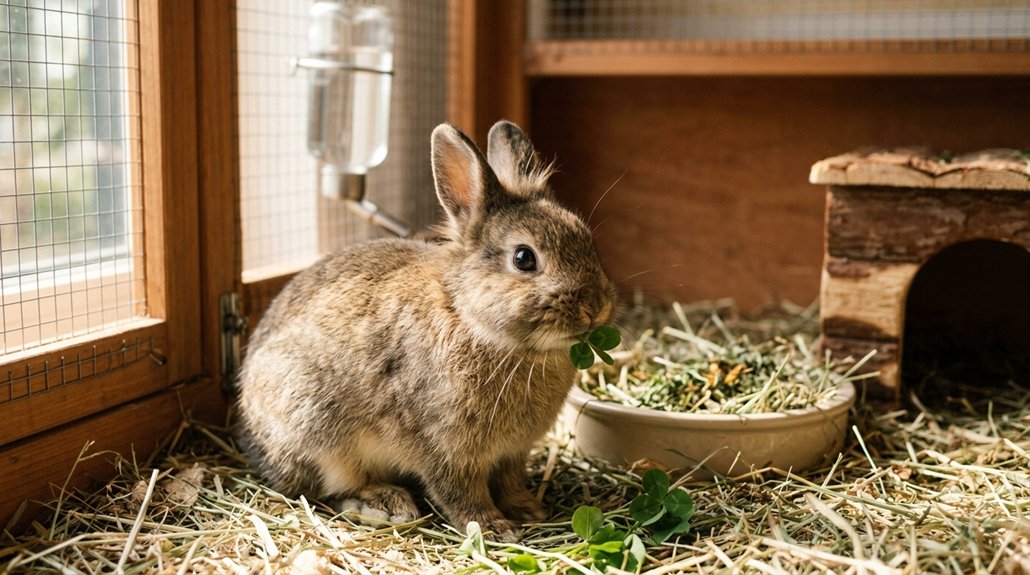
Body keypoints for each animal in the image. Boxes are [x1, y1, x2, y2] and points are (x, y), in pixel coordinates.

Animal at [235, 120, 617, 542]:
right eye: (524, 258)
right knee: (325, 489)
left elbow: (510, 482)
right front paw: (494, 528)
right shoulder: (444, 448)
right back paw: (387, 504)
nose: (595, 308)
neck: (470, 320)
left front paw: (529, 510)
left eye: (586, 238)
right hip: (315, 429)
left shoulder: (512, 455)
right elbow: (460, 493)